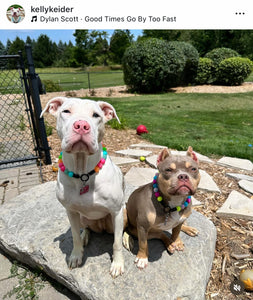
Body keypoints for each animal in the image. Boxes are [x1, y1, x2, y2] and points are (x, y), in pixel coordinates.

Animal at [40, 97, 124, 278]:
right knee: (85, 227)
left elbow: (116, 242)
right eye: (66, 111)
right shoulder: (70, 211)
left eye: (96, 115)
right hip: (83, 217)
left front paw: (118, 264)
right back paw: (85, 235)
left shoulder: (116, 212)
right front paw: (76, 255)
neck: (83, 172)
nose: (81, 125)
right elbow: (74, 235)